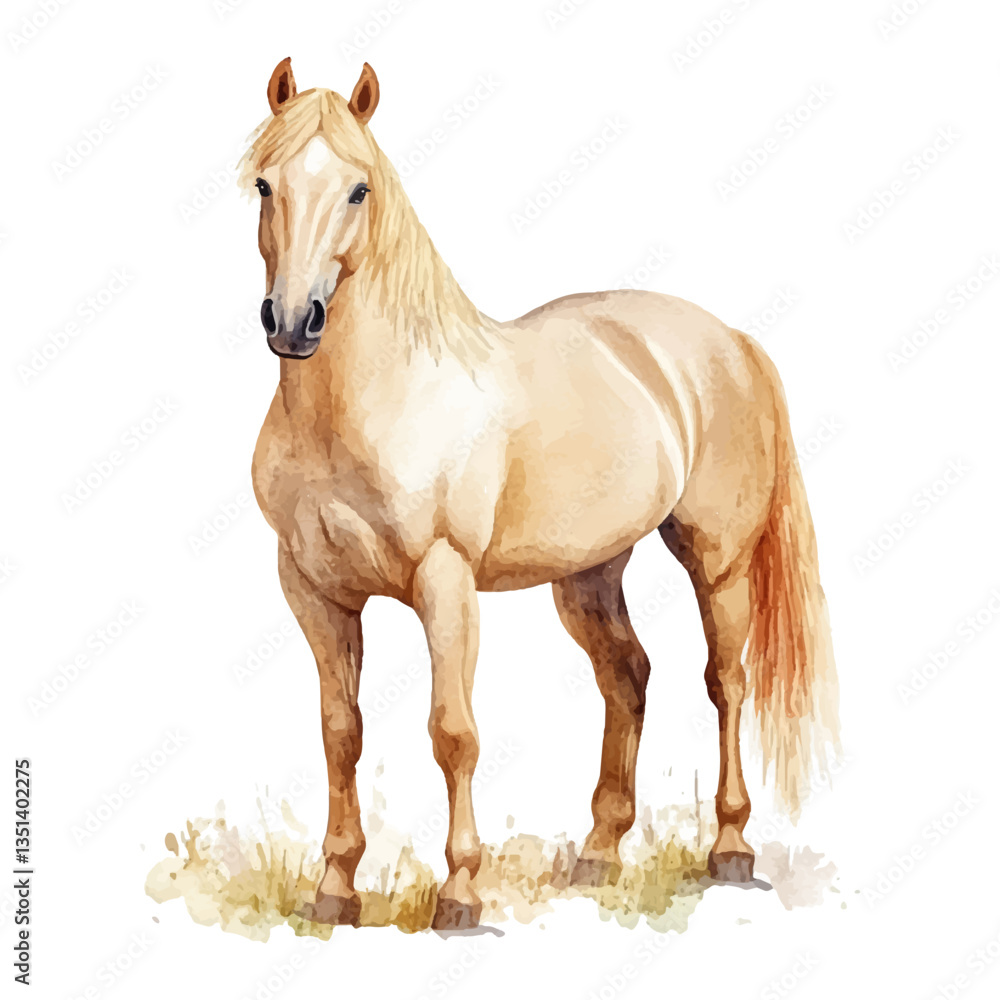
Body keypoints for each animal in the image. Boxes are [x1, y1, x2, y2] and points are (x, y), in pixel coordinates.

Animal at [243, 58, 840, 930]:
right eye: (265, 184)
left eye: (359, 189)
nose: (293, 322)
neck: (379, 397)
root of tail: (732, 340)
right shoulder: (312, 591)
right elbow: (339, 733)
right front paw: (335, 889)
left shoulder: (445, 582)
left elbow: (452, 731)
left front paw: (459, 893)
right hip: (587, 575)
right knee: (628, 676)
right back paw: (600, 852)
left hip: (718, 561)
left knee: (725, 681)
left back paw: (729, 848)